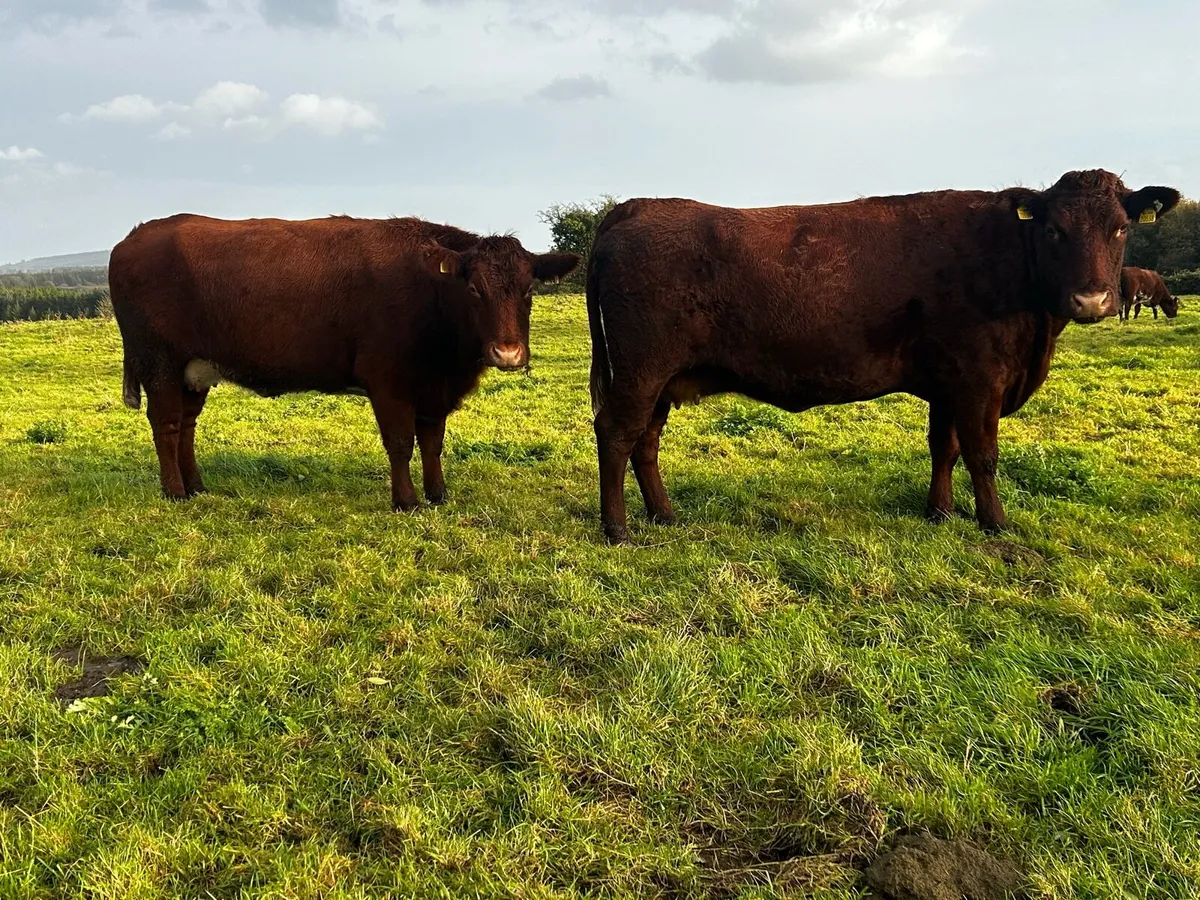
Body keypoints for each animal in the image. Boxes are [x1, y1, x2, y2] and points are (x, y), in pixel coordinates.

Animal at [109, 214, 578, 509]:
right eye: (475, 289)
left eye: (528, 289)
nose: (508, 353)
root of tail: (134, 237)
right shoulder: (388, 382)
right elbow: (401, 443)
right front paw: (406, 500)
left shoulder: (433, 388)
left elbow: (432, 442)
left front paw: (438, 494)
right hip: (160, 363)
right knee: (166, 425)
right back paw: (174, 491)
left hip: (195, 370)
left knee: (186, 426)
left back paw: (196, 487)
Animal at [586, 169, 1179, 542]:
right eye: (1054, 230)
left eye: (1120, 228)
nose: (1092, 300)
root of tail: (636, 207)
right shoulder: (980, 378)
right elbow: (983, 454)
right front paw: (995, 524)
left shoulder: (948, 382)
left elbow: (945, 448)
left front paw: (939, 513)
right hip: (638, 372)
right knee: (617, 434)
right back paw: (617, 529)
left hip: (663, 380)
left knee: (646, 442)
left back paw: (663, 516)